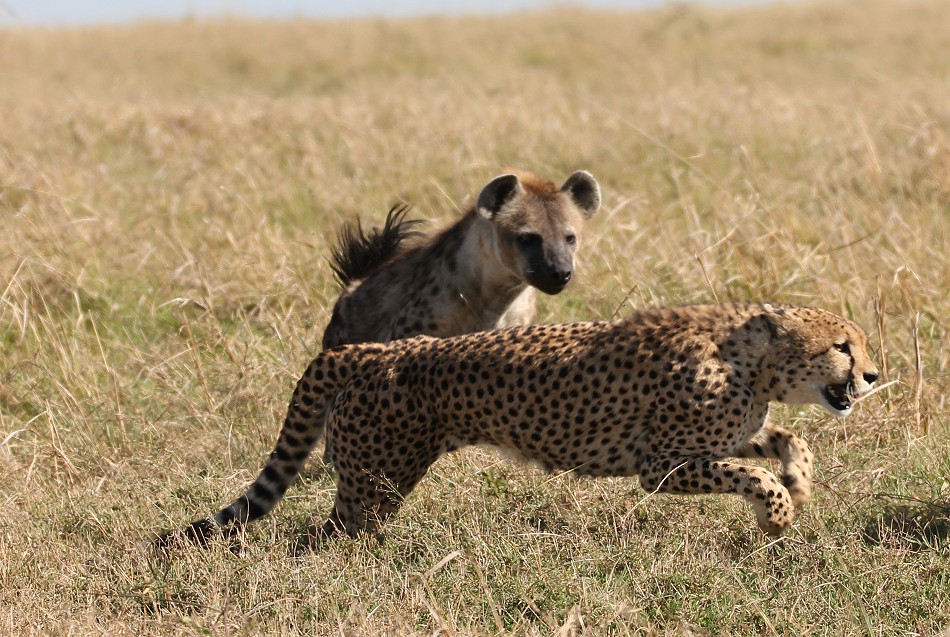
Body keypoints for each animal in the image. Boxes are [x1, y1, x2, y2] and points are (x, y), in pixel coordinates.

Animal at [160, 304, 880, 548]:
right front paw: (777, 513)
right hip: (378, 478)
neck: (754, 360)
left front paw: (799, 483)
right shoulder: (662, 466)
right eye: (843, 345)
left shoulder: (716, 437)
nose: (874, 375)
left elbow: (785, 440)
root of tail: (377, 348)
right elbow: (751, 471)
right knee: (330, 531)